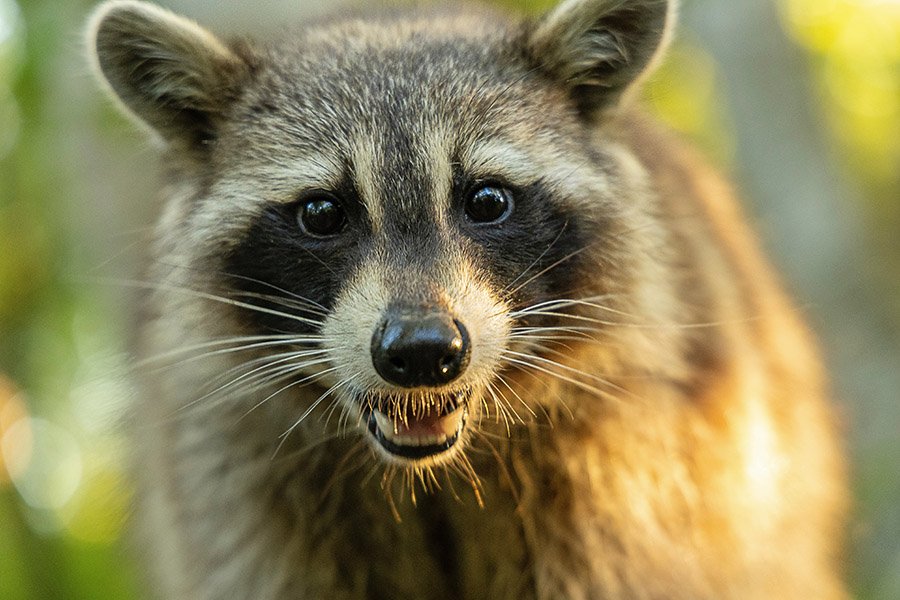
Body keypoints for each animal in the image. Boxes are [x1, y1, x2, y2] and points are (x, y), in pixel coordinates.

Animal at [87, 0, 848, 598]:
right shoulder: (240, 485)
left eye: (486, 200)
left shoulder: (634, 469)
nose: (424, 352)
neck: (432, 474)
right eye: (322, 213)